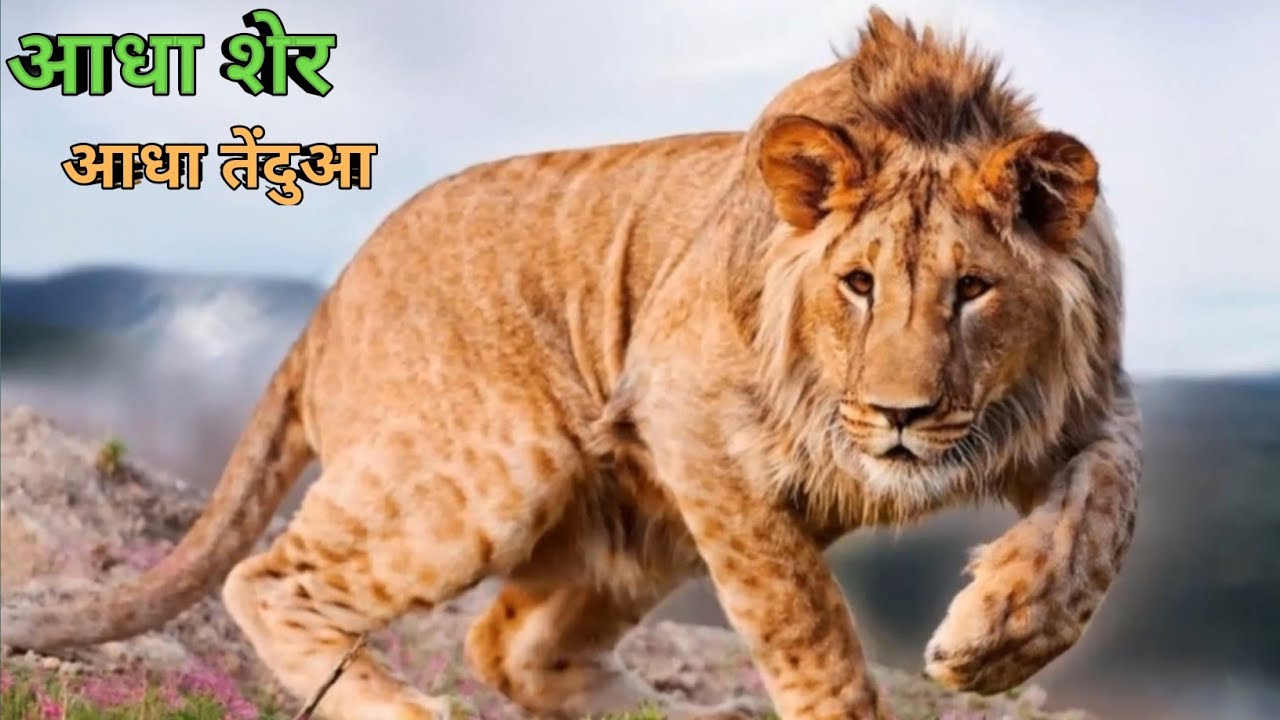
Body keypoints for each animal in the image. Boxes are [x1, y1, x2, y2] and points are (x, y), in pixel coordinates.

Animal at [0, 9, 1141, 720]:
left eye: (972, 289)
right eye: (858, 284)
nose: (900, 414)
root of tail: (326, 305)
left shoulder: (1084, 405)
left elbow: (1102, 518)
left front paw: (999, 636)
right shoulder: (693, 422)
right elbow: (801, 614)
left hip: (635, 529)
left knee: (507, 646)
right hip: (501, 465)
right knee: (269, 578)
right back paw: (399, 705)